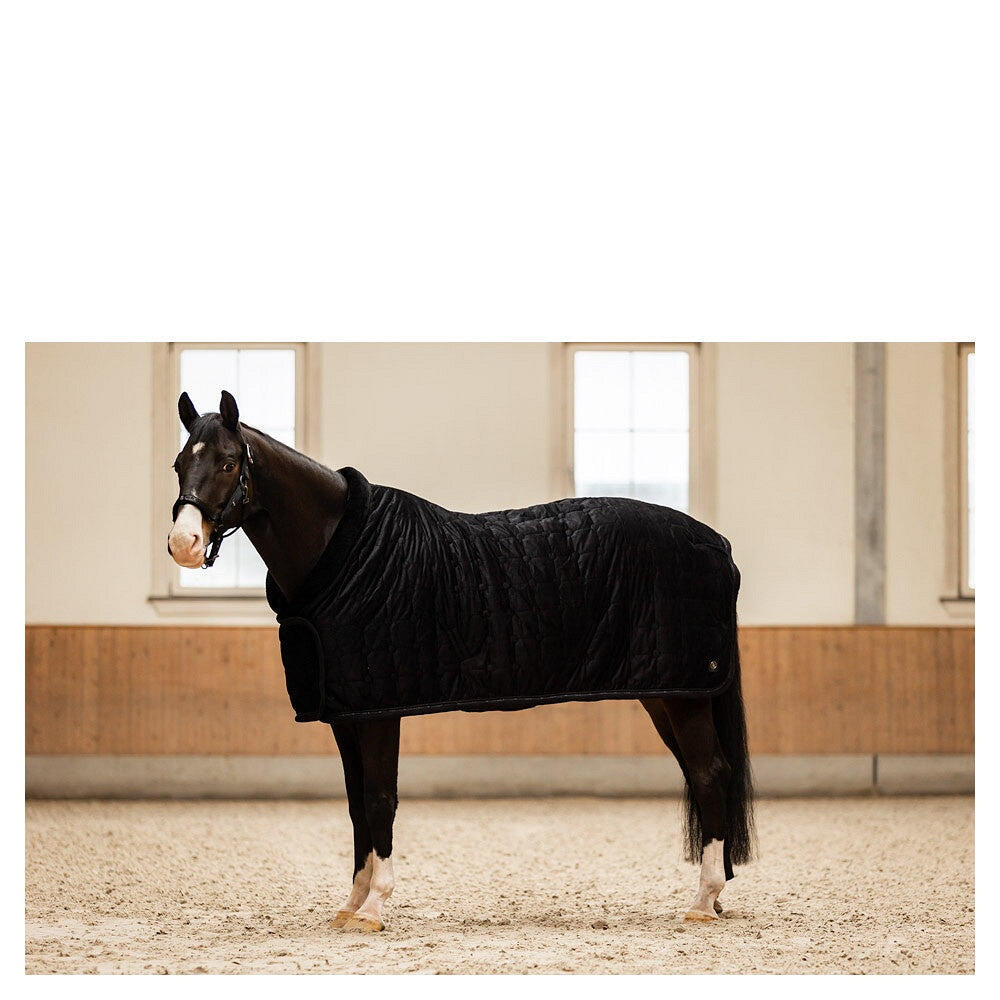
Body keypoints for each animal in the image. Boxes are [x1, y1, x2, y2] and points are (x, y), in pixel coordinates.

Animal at [168, 389, 755, 932]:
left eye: (228, 462)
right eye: (178, 464)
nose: (183, 543)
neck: (347, 554)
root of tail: (720, 546)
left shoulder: (380, 710)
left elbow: (379, 798)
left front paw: (375, 906)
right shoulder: (347, 712)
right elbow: (356, 803)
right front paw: (352, 904)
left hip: (682, 694)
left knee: (709, 773)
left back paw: (703, 900)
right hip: (668, 693)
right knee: (702, 774)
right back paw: (716, 895)